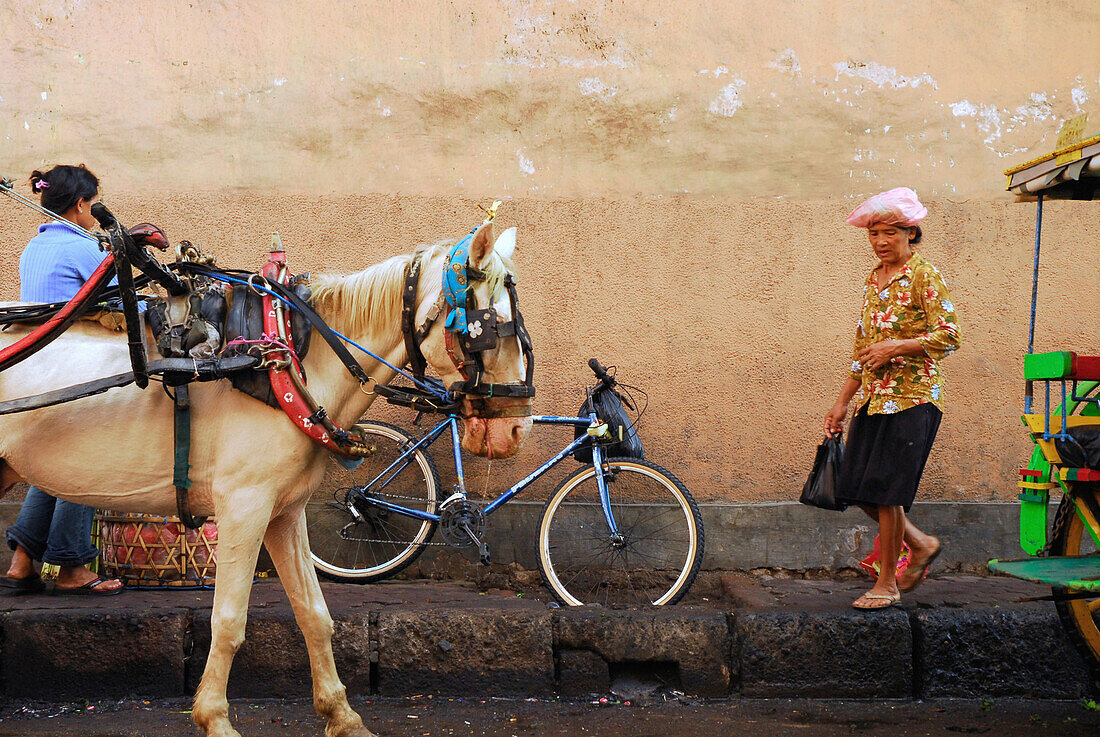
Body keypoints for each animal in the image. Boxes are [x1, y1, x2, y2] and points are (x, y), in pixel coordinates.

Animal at [0, 221, 532, 737]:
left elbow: (314, 615)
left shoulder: (284, 512)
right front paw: (214, 718)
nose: (517, 428)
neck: (287, 357)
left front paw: (341, 715)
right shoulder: (244, 505)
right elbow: (229, 620)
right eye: (489, 327)